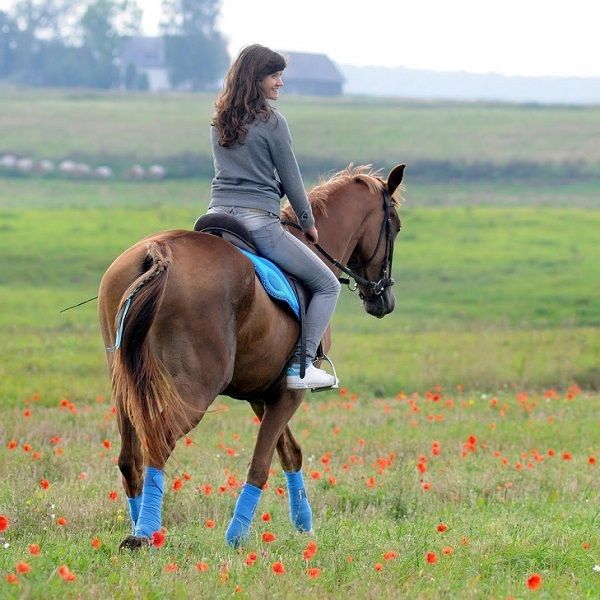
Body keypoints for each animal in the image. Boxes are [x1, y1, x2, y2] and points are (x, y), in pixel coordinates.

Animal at [98, 163, 405, 550]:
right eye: (395, 226)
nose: (384, 299)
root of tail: (159, 252)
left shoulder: (262, 393)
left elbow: (289, 452)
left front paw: (304, 525)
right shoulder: (290, 392)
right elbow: (261, 464)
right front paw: (237, 535)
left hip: (125, 385)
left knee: (130, 457)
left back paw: (138, 525)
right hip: (195, 392)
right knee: (158, 443)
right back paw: (146, 533)